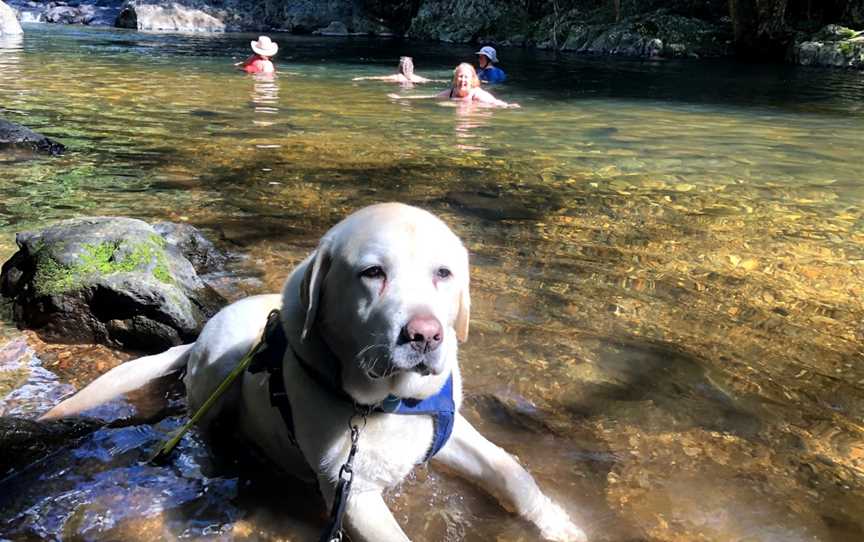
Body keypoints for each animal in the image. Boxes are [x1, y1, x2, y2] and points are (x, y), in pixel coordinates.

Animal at [44, 204, 592, 542]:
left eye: (444, 273)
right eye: (372, 273)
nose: (425, 335)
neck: (386, 402)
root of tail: (196, 337)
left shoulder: (451, 431)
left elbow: (512, 474)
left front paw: (564, 526)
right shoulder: (352, 494)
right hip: (217, 374)